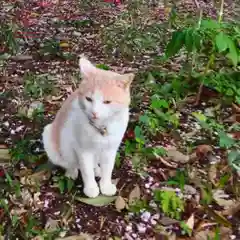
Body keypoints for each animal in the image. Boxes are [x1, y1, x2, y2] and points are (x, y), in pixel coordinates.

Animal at [42, 55, 134, 198]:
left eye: (107, 102)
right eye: (89, 99)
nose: (94, 112)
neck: (101, 128)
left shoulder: (110, 149)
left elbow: (108, 169)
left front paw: (105, 186)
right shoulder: (83, 151)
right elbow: (86, 171)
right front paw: (91, 188)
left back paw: (97, 169)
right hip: (50, 137)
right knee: (69, 163)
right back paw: (72, 172)